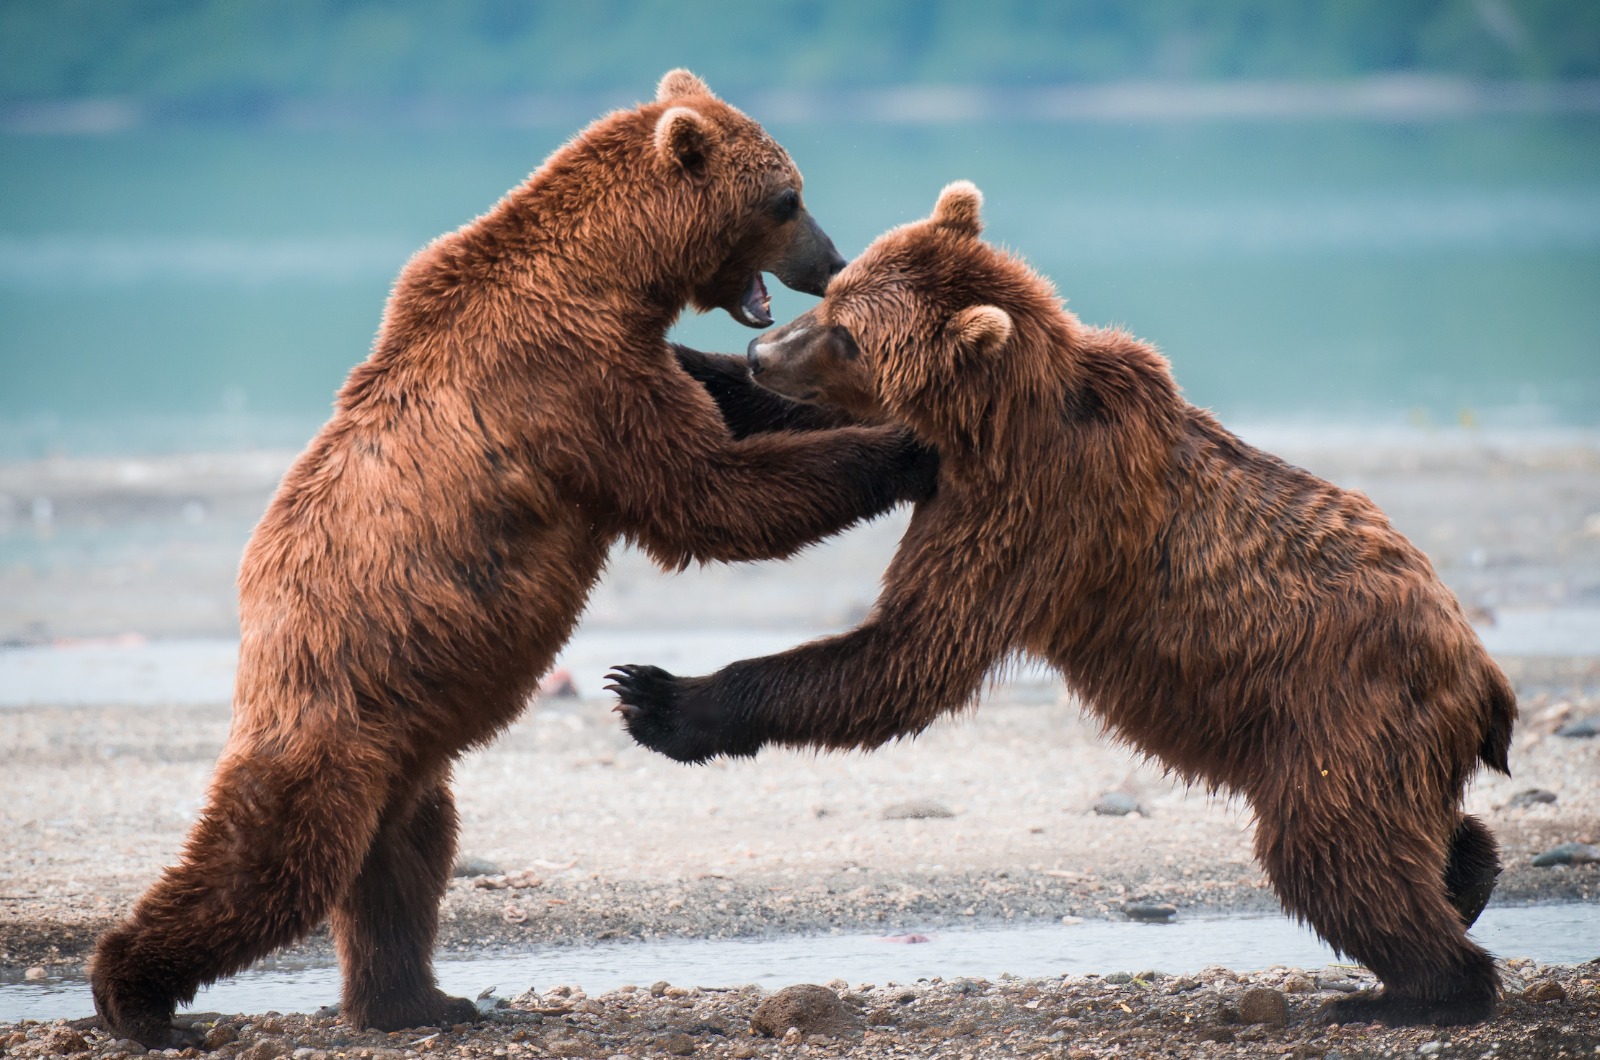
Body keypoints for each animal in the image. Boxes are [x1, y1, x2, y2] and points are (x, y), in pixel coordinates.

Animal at [87, 70, 934, 1050]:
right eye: (789, 198)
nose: (830, 260)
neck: (615, 275)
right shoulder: (574, 379)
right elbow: (709, 495)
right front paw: (902, 446)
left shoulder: (612, 359)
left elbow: (724, 435)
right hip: (332, 716)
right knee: (272, 865)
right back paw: (136, 996)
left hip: (405, 752)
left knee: (407, 864)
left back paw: (420, 1001)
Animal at [608, 182, 1510, 1031]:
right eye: (834, 296)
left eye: (849, 333)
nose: (761, 349)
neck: (993, 421)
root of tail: (1481, 673)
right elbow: (809, 423)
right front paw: (682, 360)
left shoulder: (1033, 513)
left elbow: (908, 655)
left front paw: (659, 697)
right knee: (1405, 832)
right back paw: (1466, 878)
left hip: (1335, 712)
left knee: (1331, 849)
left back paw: (1412, 991)